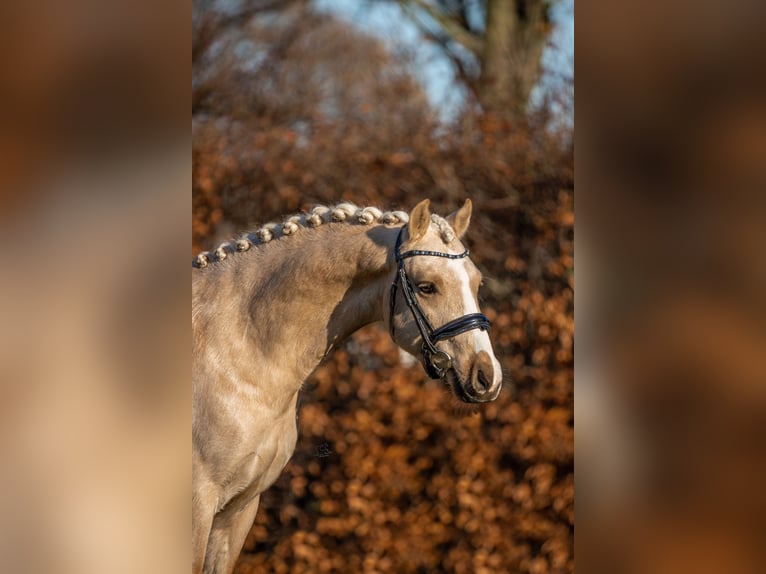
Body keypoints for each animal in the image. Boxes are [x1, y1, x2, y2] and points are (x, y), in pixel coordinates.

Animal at [192, 200, 504, 572]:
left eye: (476, 282)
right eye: (426, 286)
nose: (486, 375)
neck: (240, 348)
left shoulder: (238, 511)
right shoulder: (198, 508)